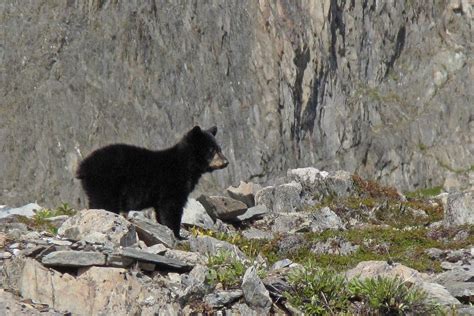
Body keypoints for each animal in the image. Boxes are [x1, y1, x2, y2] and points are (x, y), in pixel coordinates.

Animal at [76, 126, 228, 239]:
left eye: (219, 148)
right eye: (211, 150)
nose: (226, 162)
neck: (186, 165)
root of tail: (83, 166)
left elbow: (161, 211)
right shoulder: (172, 184)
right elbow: (171, 208)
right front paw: (178, 235)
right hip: (106, 184)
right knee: (104, 204)